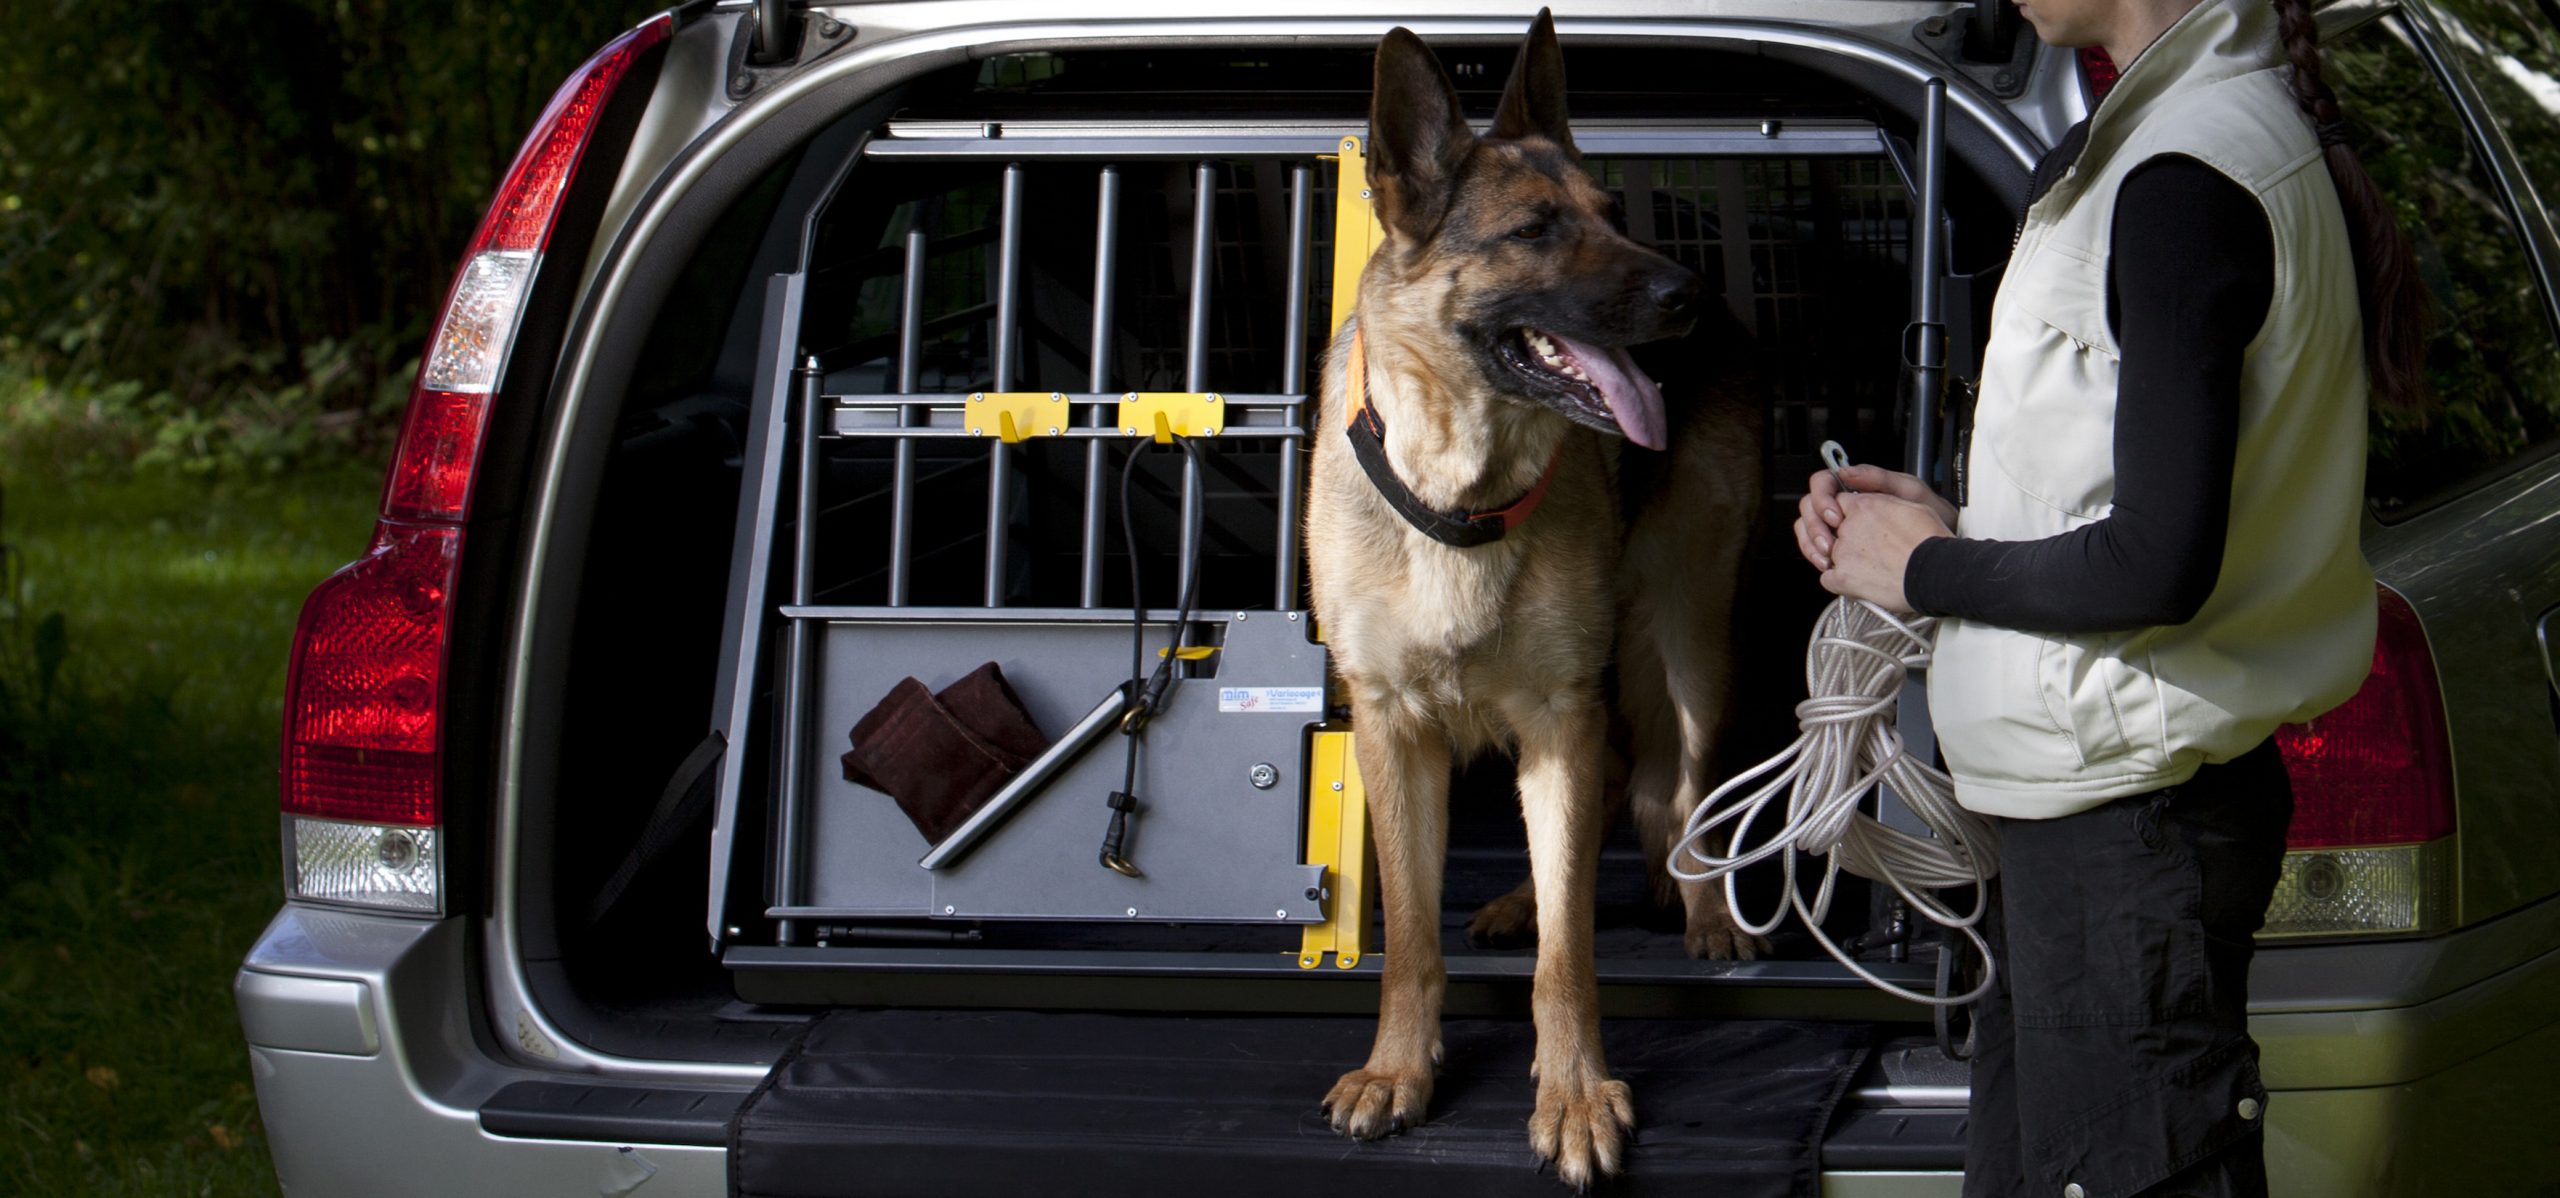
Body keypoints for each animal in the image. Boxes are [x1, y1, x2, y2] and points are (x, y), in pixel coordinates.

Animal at [1310, 9, 1771, 1187]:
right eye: (1531, 230)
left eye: (1609, 213)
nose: (1683, 298)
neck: (1456, 486)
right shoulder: (1394, 729)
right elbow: (1410, 935)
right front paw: (1398, 1069)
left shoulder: (1563, 707)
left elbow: (1573, 951)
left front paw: (1573, 1096)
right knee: (1604, 797)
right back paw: (1521, 896)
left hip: (1687, 640)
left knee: (1678, 790)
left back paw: (1703, 908)